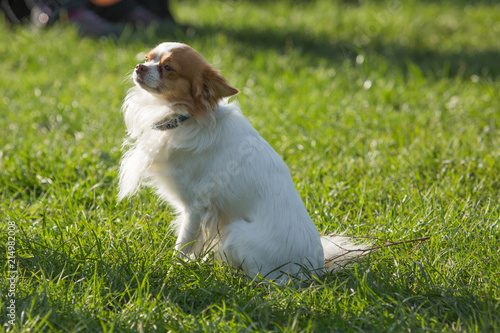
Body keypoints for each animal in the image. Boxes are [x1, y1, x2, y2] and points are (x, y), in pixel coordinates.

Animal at [118, 40, 368, 280]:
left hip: (235, 233)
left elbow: (182, 246)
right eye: (147, 58)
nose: (139, 67)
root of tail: (313, 270)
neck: (184, 118)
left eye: (168, 68)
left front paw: (170, 273)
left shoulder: (195, 206)